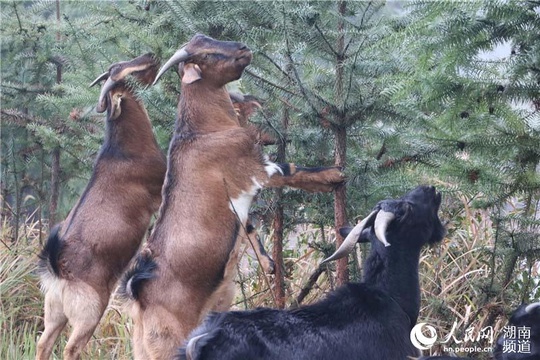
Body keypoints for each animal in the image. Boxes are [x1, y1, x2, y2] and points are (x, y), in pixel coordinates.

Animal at [36, 53, 167, 360]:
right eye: (129, 74)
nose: (151, 56)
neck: (125, 148)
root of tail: (59, 270)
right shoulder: (158, 188)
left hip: (54, 312)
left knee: (44, 342)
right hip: (90, 311)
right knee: (71, 348)